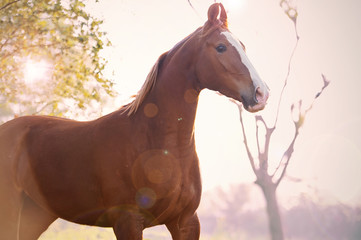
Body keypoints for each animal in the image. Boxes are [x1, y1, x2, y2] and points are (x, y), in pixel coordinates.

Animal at [0, 3, 268, 240]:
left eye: (242, 46)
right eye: (221, 47)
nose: (261, 93)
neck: (159, 145)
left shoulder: (186, 221)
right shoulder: (128, 221)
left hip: (35, 215)